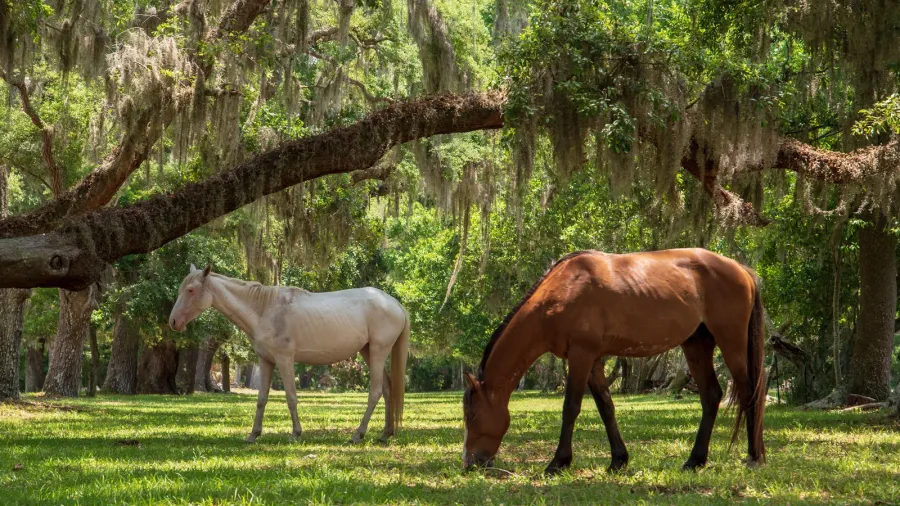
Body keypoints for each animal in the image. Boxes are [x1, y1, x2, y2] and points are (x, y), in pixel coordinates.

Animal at [169, 264, 410, 443]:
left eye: (191, 290)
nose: (173, 322)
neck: (264, 309)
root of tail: (395, 304)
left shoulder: (284, 360)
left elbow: (291, 397)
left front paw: (296, 433)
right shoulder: (266, 361)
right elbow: (262, 399)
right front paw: (254, 434)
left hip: (378, 352)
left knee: (375, 392)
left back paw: (358, 434)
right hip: (368, 352)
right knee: (387, 389)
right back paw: (385, 434)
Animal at [462, 248, 766, 475]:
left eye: (472, 415)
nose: (470, 463)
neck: (563, 290)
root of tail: (742, 270)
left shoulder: (581, 355)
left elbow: (570, 408)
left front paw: (558, 463)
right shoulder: (593, 360)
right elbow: (606, 408)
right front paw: (618, 460)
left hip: (731, 342)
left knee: (748, 392)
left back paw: (754, 456)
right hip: (697, 345)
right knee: (711, 396)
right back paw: (695, 461)